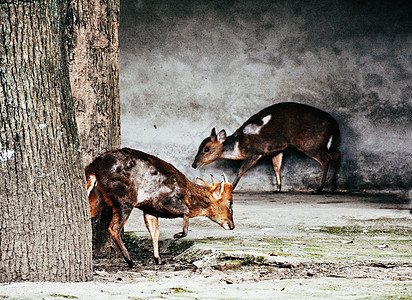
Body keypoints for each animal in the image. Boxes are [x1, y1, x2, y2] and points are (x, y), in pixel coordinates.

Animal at [85, 148, 233, 268]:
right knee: (113, 227)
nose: (232, 225)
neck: (187, 194)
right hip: (124, 198)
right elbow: (185, 211)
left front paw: (158, 259)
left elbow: (155, 232)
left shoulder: (149, 209)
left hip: (99, 198)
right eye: (229, 202)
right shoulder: (162, 202)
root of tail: (93, 168)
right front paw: (178, 234)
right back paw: (130, 261)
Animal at [193, 102, 342, 193]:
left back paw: (319, 189)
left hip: (310, 144)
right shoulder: (277, 149)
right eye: (200, 146)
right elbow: (276, 166)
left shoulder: (255, 152)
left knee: (326, 159)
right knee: (336, 153)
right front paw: (278, 188)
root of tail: (335, 125)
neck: (238, 145)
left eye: (206, 148)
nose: (194, 164)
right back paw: (332, 186)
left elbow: (241, 170)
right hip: (323, 144)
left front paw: (232, 188)